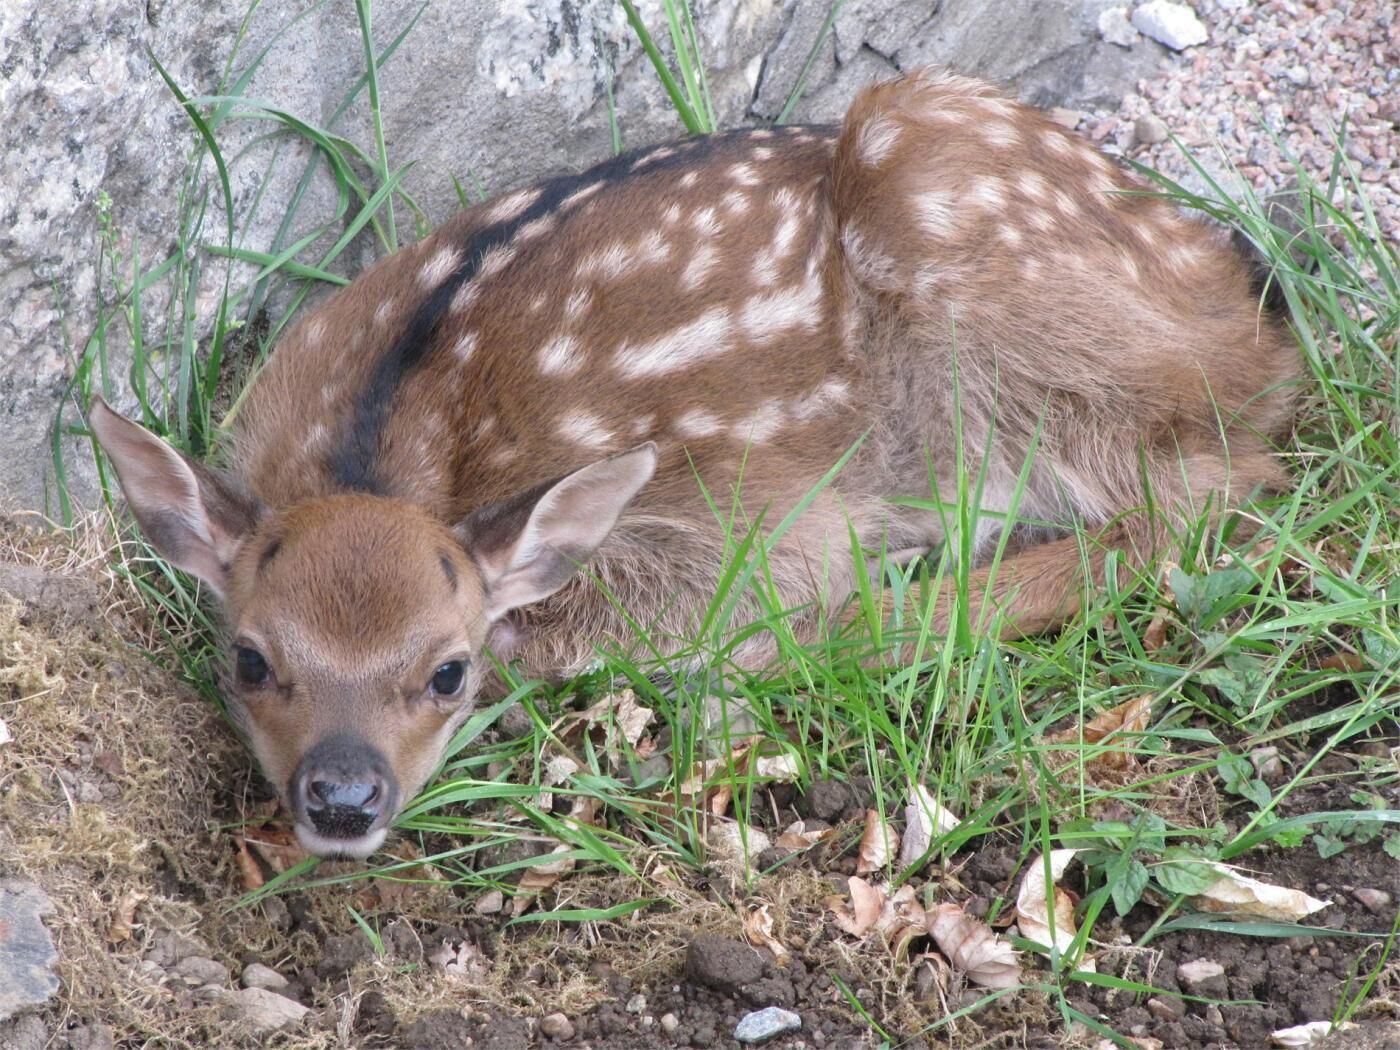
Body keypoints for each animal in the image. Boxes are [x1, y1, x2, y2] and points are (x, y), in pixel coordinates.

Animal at [89, 70, 1300, 860]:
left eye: (447, 671)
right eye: (250, 658)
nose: (342, 798)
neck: (393, 447)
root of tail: (1247, 316)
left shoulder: (748, 523)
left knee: (1214, 485)